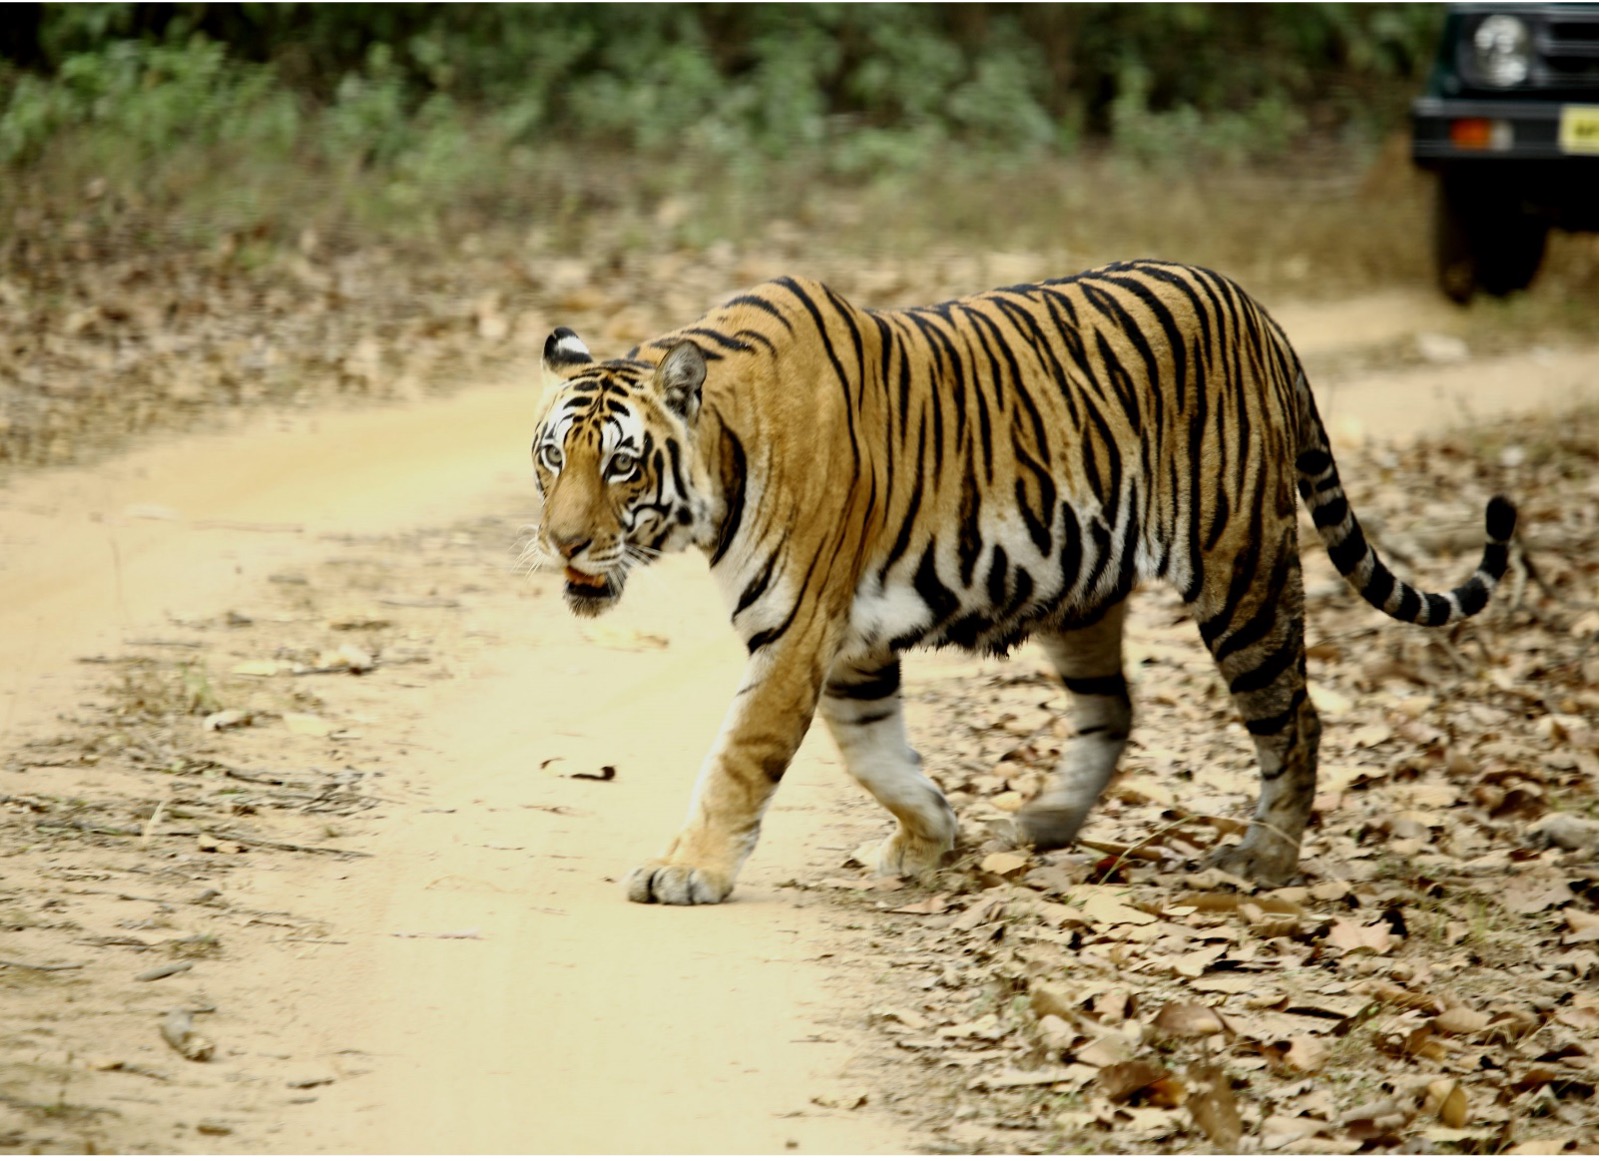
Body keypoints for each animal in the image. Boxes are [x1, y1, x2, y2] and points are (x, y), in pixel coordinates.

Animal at [529, 262, 1514, 904]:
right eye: (550, 458)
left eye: (620, 465)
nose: (561, 541)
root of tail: (1256, 309)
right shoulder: (849, 643)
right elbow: (875, 753)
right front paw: (930, 836)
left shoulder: (797, 630)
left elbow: (741, 757)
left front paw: (687, 869)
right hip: (1083, 587)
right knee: (1113, 709)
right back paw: (1042, 823)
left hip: (1242, 571)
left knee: (1295, 717)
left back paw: (1265, 861)